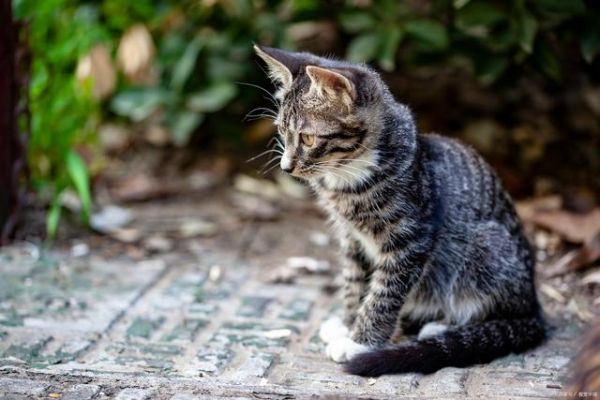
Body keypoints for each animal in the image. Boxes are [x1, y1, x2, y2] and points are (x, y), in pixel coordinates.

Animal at [254, 44, 546, 376]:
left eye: (308, 138)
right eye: (282, 132)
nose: (286, 166)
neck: (348, 180)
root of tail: (533, 302)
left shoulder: (411, 239)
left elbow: (385, 293)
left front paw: (359, 342)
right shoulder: (352, 238)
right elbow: (354, 280)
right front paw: (347, 323)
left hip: (488, 246)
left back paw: (443, 328)